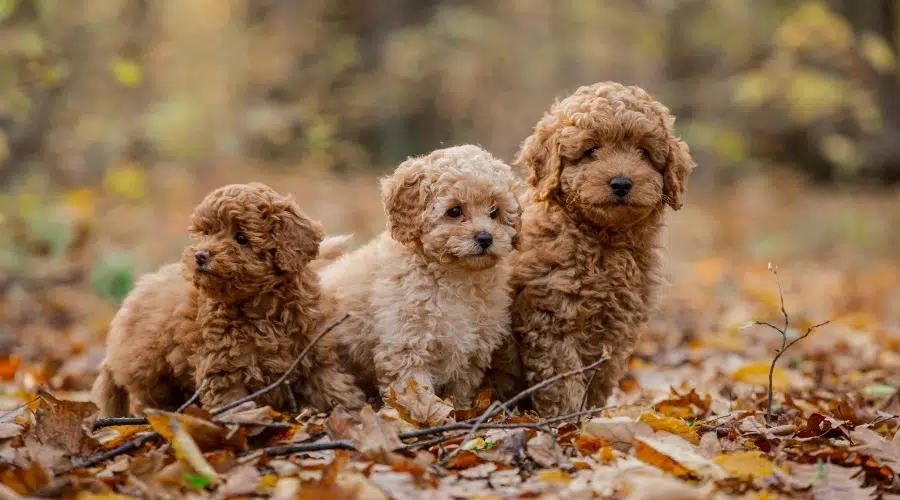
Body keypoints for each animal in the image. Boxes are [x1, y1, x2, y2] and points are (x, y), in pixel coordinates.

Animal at [92, 184, 366, 418]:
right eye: (206, 234)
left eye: (241, 237)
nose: (201, 255)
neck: (260, 305)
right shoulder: (223, 367)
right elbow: (231, 401)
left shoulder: (313, 349)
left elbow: (333, 384)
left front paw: (354, 410)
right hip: (151, 374)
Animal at [322, 145, 520, 410]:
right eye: (454, 211)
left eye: (494, 212)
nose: (485, 237)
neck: (456, 277)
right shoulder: (406, 344)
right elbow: (417, 394)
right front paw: (423, 417)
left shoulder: (471, 353)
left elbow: (460, 393)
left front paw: (459, 413)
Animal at [492, 82, 696, 416]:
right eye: (590, 151)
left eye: (643, 152)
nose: (621, 183)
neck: (603, 241)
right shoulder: (551, 317)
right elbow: (563, 379)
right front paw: (570, 419)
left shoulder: (618, 326)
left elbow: (602, 377)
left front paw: (592, 415)